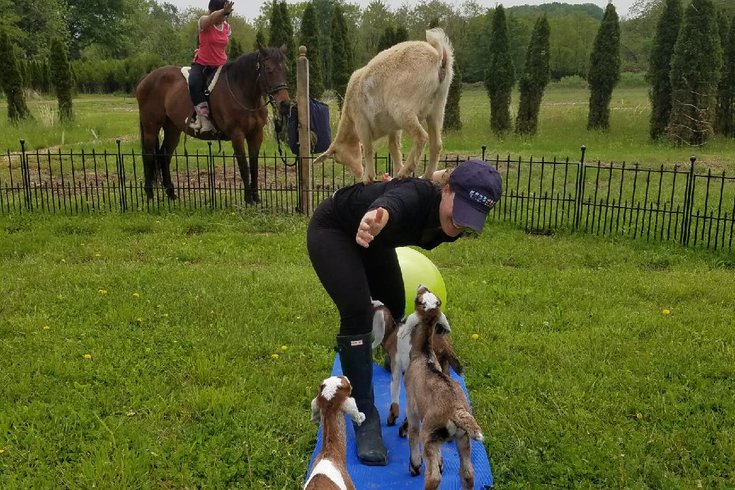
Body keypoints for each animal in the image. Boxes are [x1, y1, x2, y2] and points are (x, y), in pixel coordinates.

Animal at [137, 45, 292, 203]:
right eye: (268, 69)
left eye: (286, 69)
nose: (285, 104)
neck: (241, 92)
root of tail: (146, 78)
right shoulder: (237, 135)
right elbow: (244, 166)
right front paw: (248, 200)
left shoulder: (256, 134)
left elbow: (254, 166)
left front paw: (256, 198)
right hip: (151, 127)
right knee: (148, 155)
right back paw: (149, 195)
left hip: (173, 129)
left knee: (164, 155)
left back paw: (171, 194)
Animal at [314, 29, 454, 186]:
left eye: (338, 160)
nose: (358, 173)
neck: (349, 119)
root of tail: (439, 58)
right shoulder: (393, 127)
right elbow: (393, 147)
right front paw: (394, 171)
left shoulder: (361, 121)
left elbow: (368, 149)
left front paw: (368, 178)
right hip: (437, 107)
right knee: (436, 144)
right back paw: (426, 175)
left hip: (402, 108)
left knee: (421, 137)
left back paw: (405, 171)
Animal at [402, 286, 484, 490]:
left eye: (418, 300)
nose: (422, 286)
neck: (424, 355)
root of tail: (456, 411)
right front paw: (440, 461)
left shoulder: (411, 405)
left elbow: (412, 432)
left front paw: (414, 463)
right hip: (463, 438)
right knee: (468, 474)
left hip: (429, 434)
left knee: (433, 478)